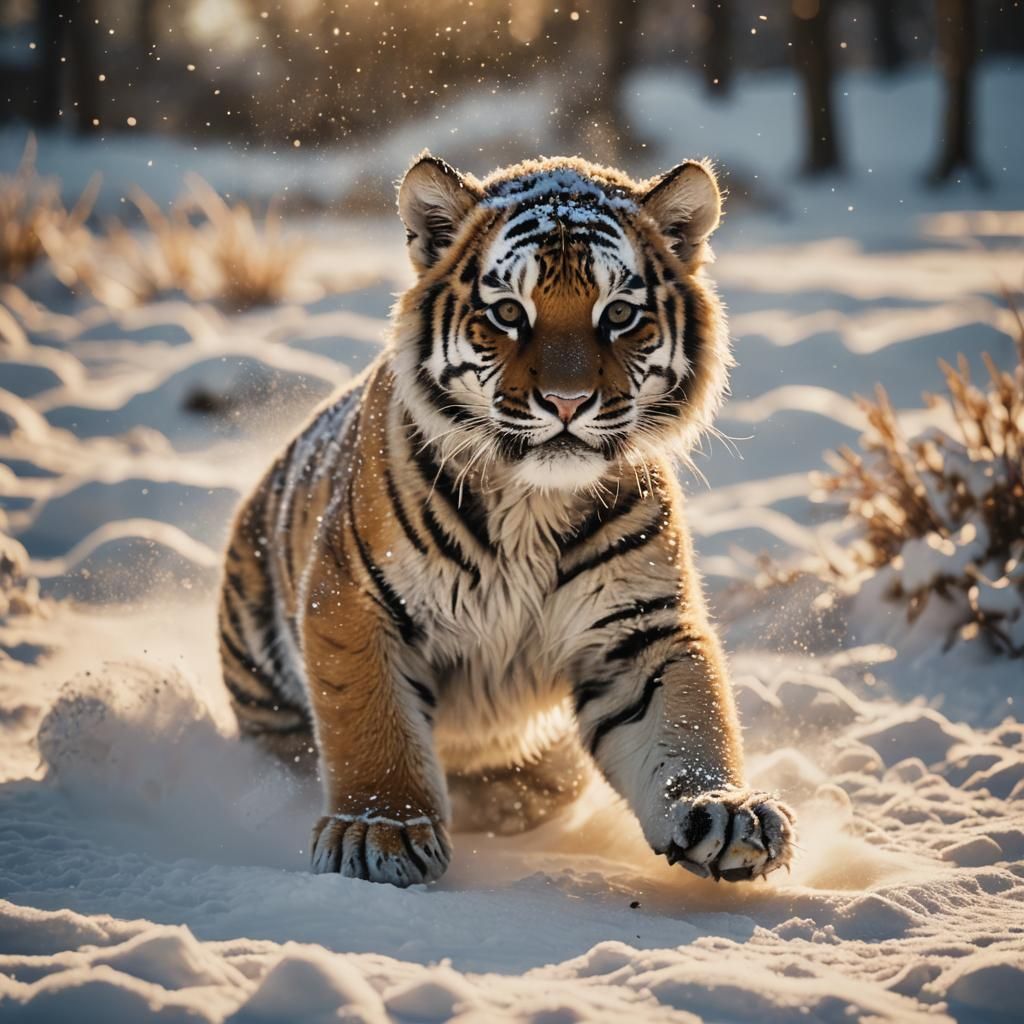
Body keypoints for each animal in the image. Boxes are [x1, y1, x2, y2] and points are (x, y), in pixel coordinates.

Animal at [218, 152, 796, 888]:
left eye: (619, 312)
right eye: (507, 312)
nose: (568, 402)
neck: (533, 502)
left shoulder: (640, 630)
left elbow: (686, 719)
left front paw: (721, 811)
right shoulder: (353, 598)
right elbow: (370, 722)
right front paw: (379, 832)